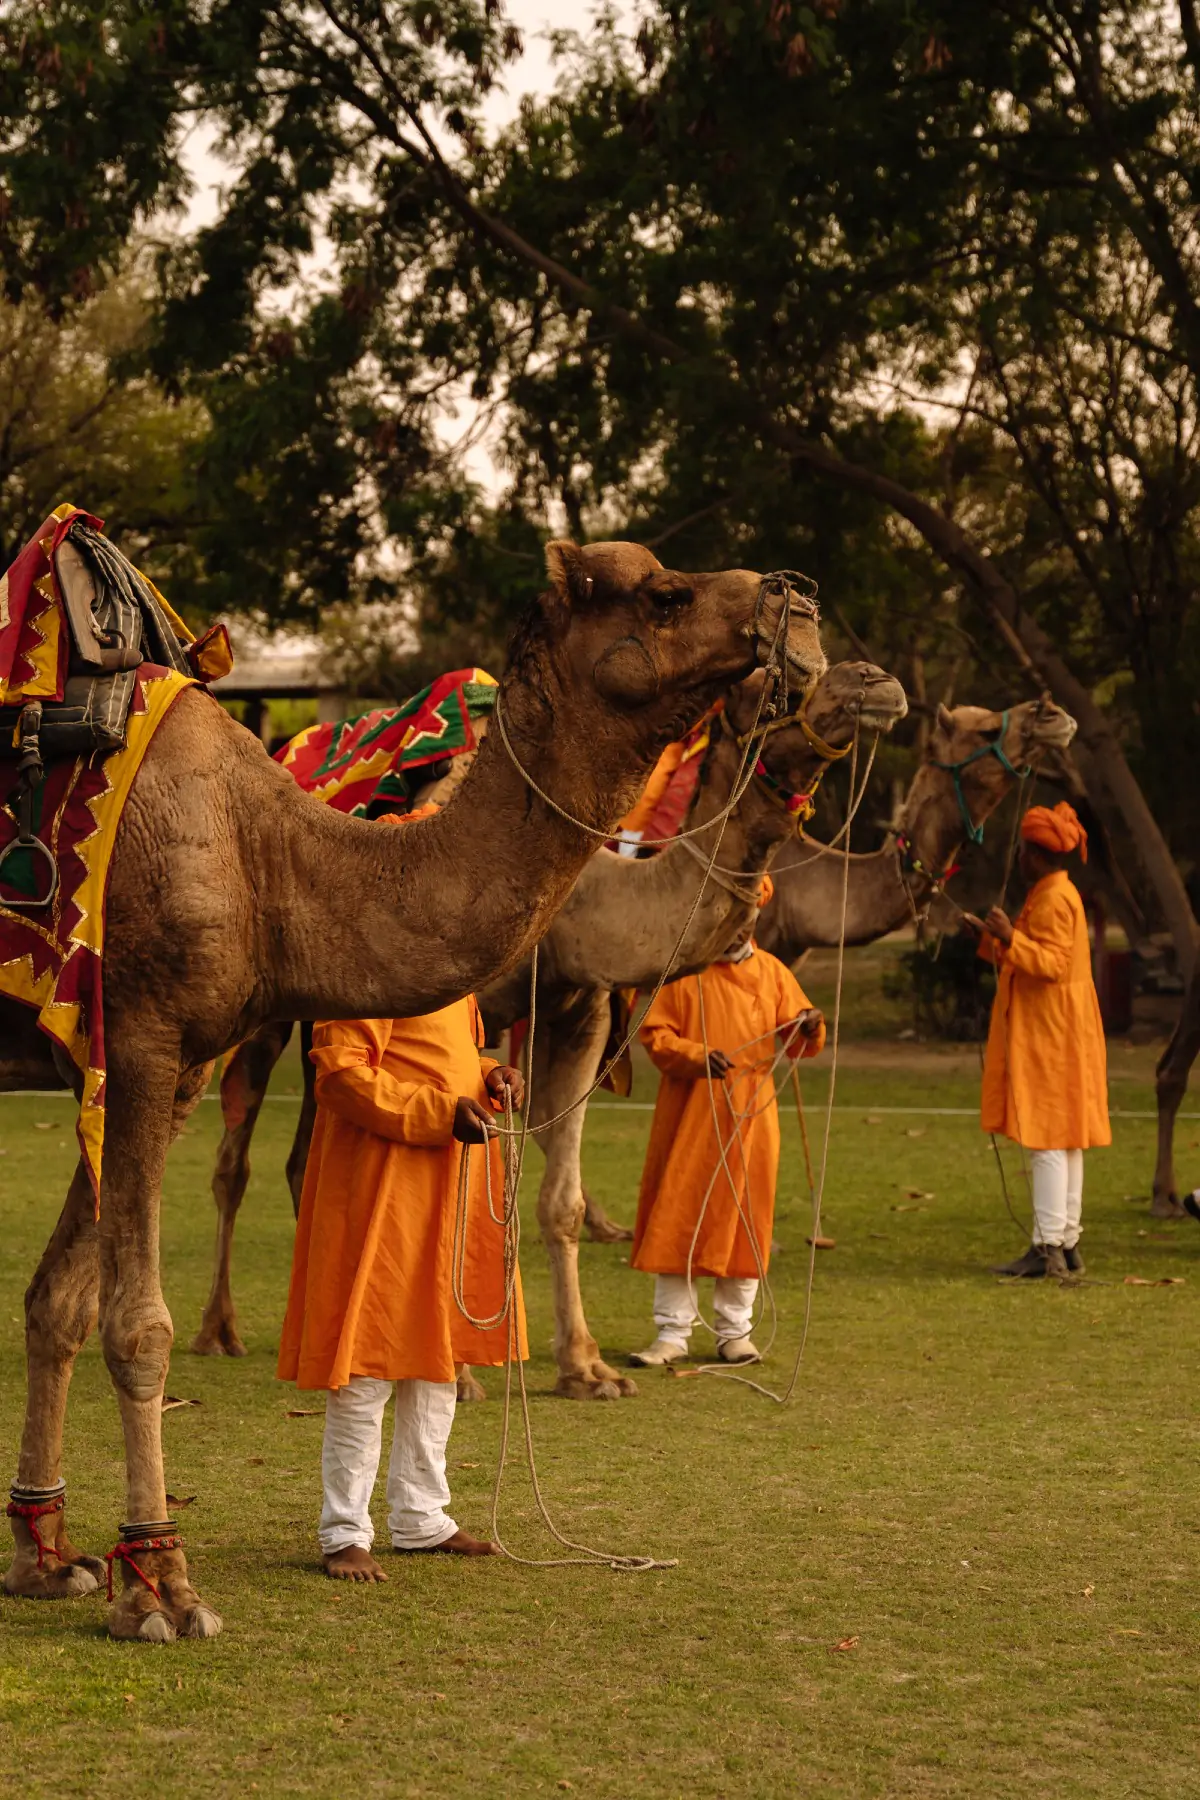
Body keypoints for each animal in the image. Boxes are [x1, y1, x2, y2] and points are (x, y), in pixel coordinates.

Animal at [0, 540, 827, 1641]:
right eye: (666, 594)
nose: (801, 602)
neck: (272, 857)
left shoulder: (171, 1063)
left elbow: (59, 1301)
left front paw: (49, 1562)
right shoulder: (138, 1036)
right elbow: (137, 1326)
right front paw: (159, 1582)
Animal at [188, 662, 906, 1375]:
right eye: (777, 686)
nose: (875, 681)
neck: (577, 898)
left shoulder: (580, 1014)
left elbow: (561, 1198)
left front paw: (585, 1365)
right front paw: (468, 1373)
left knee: (309, 1154)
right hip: (265, 1001)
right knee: (235, 1157)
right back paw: (219, 1330)